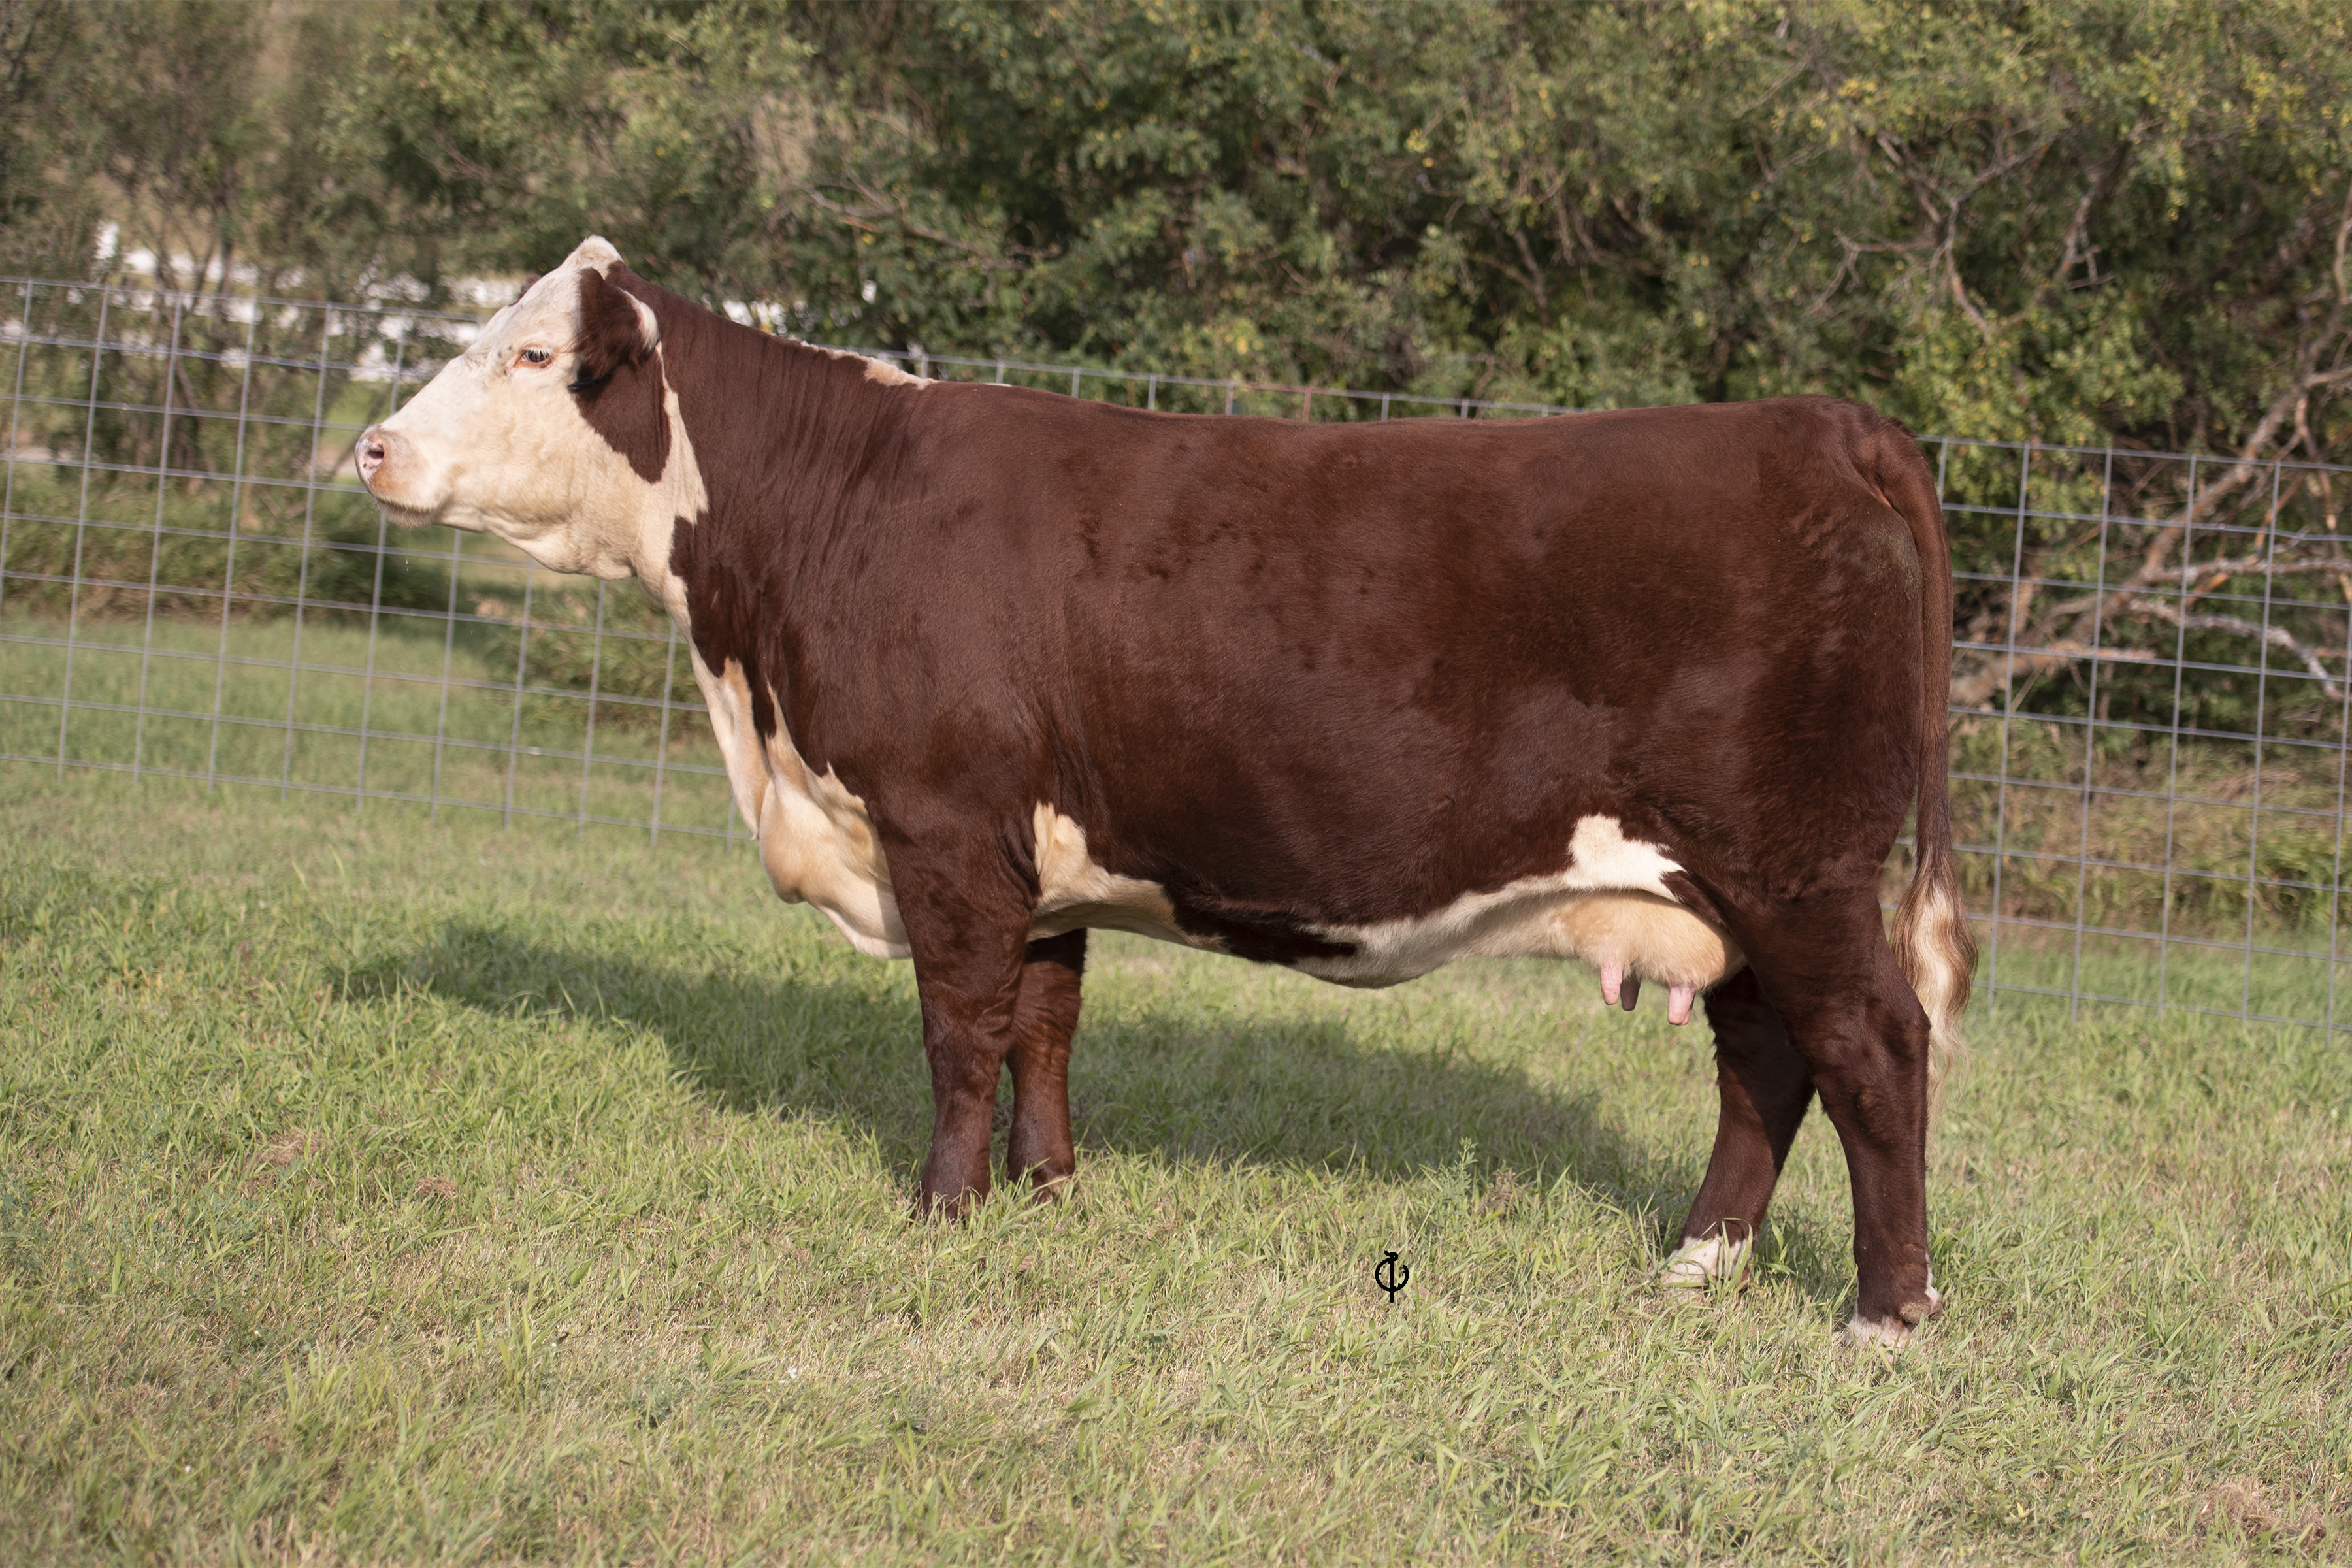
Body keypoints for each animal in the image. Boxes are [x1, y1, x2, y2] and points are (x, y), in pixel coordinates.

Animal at [362, 236, 1985, 1354]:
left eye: (532, 358)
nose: (371, 445)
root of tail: (1815, 420)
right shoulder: (1036, 852)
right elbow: (1044, 1022)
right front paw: (1049, 1193)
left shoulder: (944, 823)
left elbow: (959, 1031)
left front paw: (941, 1209)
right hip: (1734, 886)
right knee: (1765, 1059)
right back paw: (1699, 1262)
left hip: (1797, 866)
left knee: (1873, 1048)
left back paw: (1884, 1314)